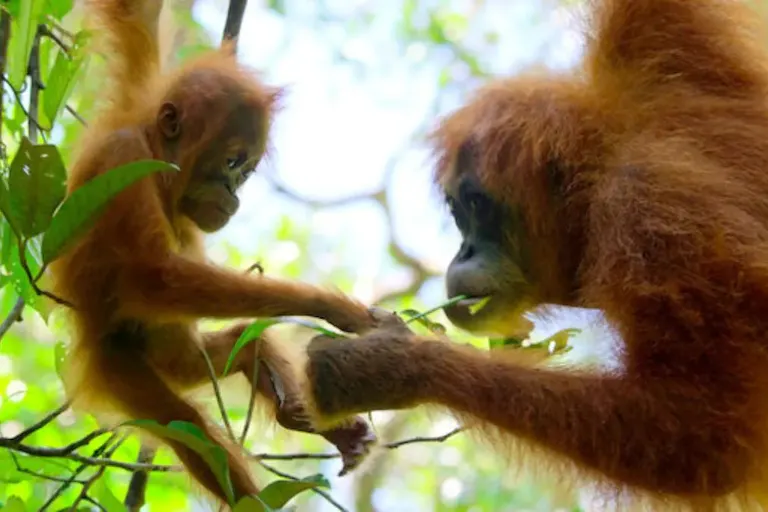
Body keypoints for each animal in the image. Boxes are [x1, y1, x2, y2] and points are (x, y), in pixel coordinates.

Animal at [49, 0, 378, 505]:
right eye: (231, 161)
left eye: (245, 170)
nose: (234, 193)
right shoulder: (123, 159)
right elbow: (154, 278)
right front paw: (328, 305)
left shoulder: (139, 92)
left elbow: (134, 16)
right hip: (119, 364)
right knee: (190, 428)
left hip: (184, 360)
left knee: (248, 341)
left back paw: (305, 416)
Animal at [297, 0, 768, 509]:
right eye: (458, 211)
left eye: (477, 205)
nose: (463, 252)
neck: (604, 166)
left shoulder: (658, 216)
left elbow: (700, 437)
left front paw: (391, 365)